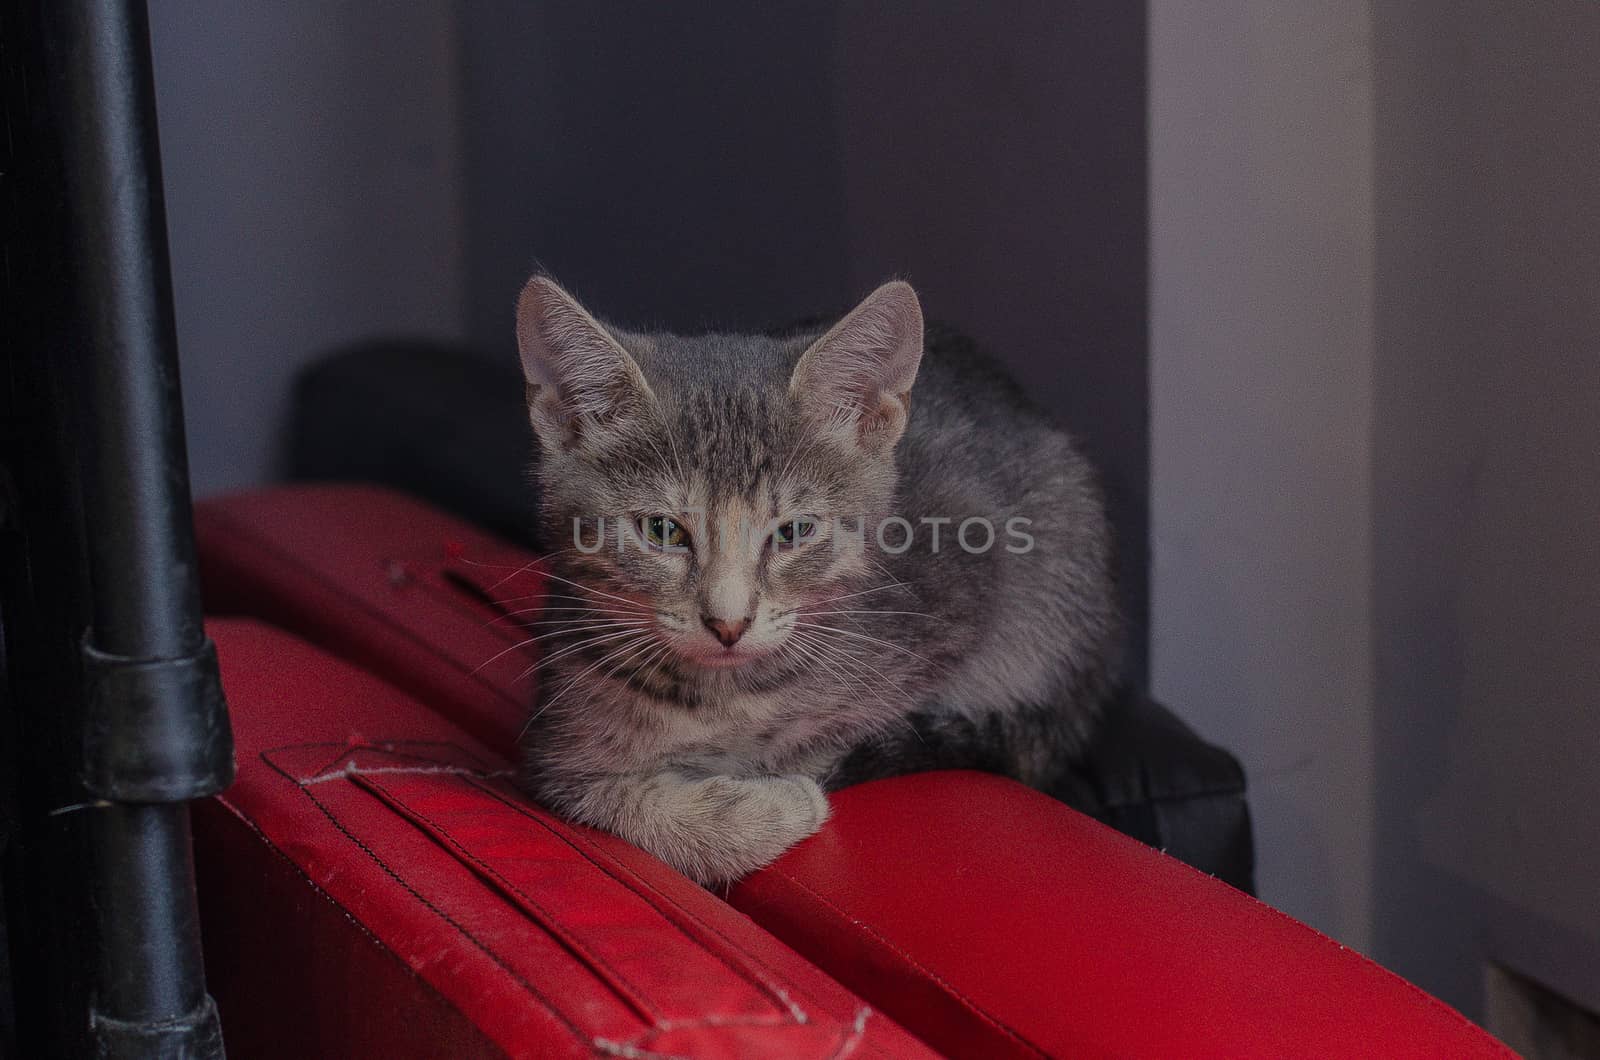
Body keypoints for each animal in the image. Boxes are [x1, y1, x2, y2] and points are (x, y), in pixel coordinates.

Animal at [518, 275, 1120, 890]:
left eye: (793, 531)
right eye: (663, 530)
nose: (728, 623)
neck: (720, 696)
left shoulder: (962, 596)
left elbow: (829, 735)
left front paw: (789, 780)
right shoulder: (561, 733)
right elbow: (597, 796)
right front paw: (764, 810)